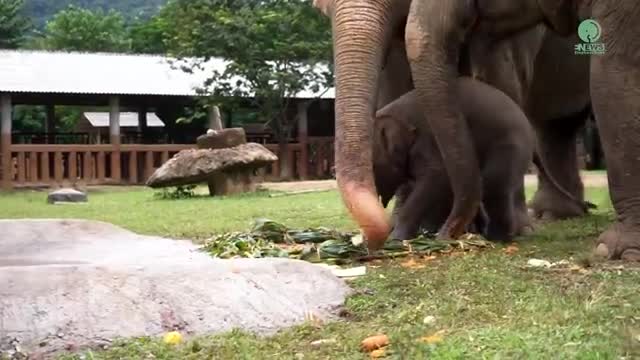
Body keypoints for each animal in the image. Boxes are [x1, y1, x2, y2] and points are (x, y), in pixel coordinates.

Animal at [370, 77, 536, 243]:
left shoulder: (427, 141)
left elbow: (439, 177)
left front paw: (396, 240)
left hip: (509, 146)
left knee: (494, 187)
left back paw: (497, 238)